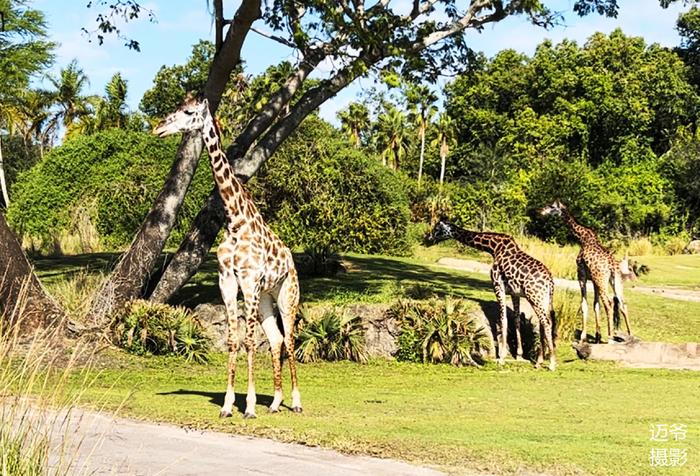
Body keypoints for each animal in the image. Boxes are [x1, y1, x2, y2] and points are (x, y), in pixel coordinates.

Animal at [154, 95, 302, 418]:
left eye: (188, 112)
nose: (158, 127)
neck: (235, 219)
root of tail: (291, 259)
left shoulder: (248, 281)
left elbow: (249, 341)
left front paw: (249, 407)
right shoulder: (227, 281)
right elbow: (234, 340)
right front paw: (227, 404)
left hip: (287, 293)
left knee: (290, 338)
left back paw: (296, 402)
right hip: (266, 297)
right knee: (276, 339)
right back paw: (275, 402)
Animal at [426, 219, 556, 372]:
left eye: (437, 228)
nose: (428, 239)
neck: (493, 248)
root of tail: (550, 282)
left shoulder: (497, 286)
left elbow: (503, 320)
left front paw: (502, 357)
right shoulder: (515, 292)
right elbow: (516, 320)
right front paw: (518, 355)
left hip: (534, 297)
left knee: (546, 323)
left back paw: (552, 363)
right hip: (544, 299)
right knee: (544, 324)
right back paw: (539, 361)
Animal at [540, 200, 632, 342]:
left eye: (552, 206)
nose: (541, 211)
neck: (583, 239)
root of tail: (612, 266)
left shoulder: (581, 275)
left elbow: (584, 304)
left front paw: (583, 336)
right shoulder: (593, 280)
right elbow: (596, 305)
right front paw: (597, 336)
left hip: (602, 279)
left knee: (609, 303)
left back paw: (610, 337)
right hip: (615, 280)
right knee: (623, 303)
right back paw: (629, 334)